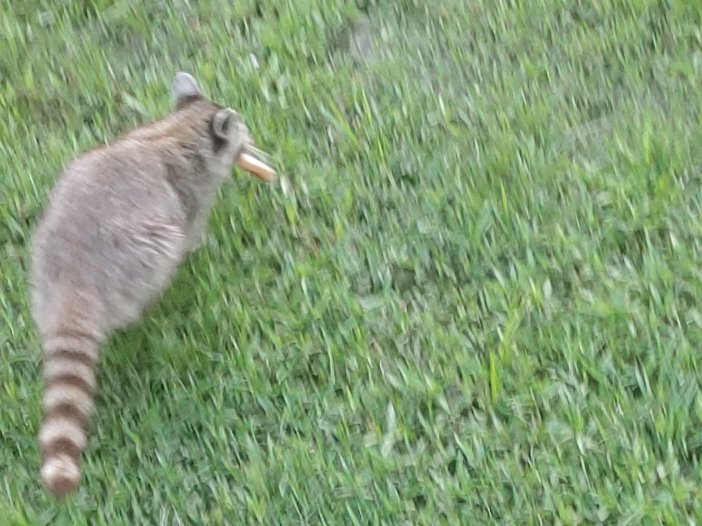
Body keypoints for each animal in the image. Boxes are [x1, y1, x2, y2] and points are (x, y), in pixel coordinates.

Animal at [28, 71, 266, 500]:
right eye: (241, 135)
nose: (252, 142)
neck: (177, 128)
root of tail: (73, 282)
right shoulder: (191, 193)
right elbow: (192, 227)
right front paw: (199, 245)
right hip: (142, 254)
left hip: (41, 252)